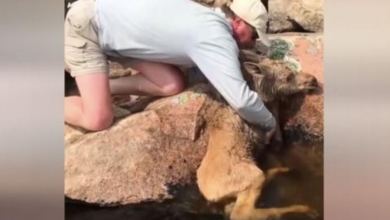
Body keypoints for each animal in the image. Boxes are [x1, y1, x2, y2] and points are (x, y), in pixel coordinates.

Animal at [197, 57, 318, 220]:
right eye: (288, 77)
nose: (314, 80)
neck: (262, 96)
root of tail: (212, 195)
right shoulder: (267, 134)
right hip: (252, 178)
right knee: (243, 212)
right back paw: (302, 207)